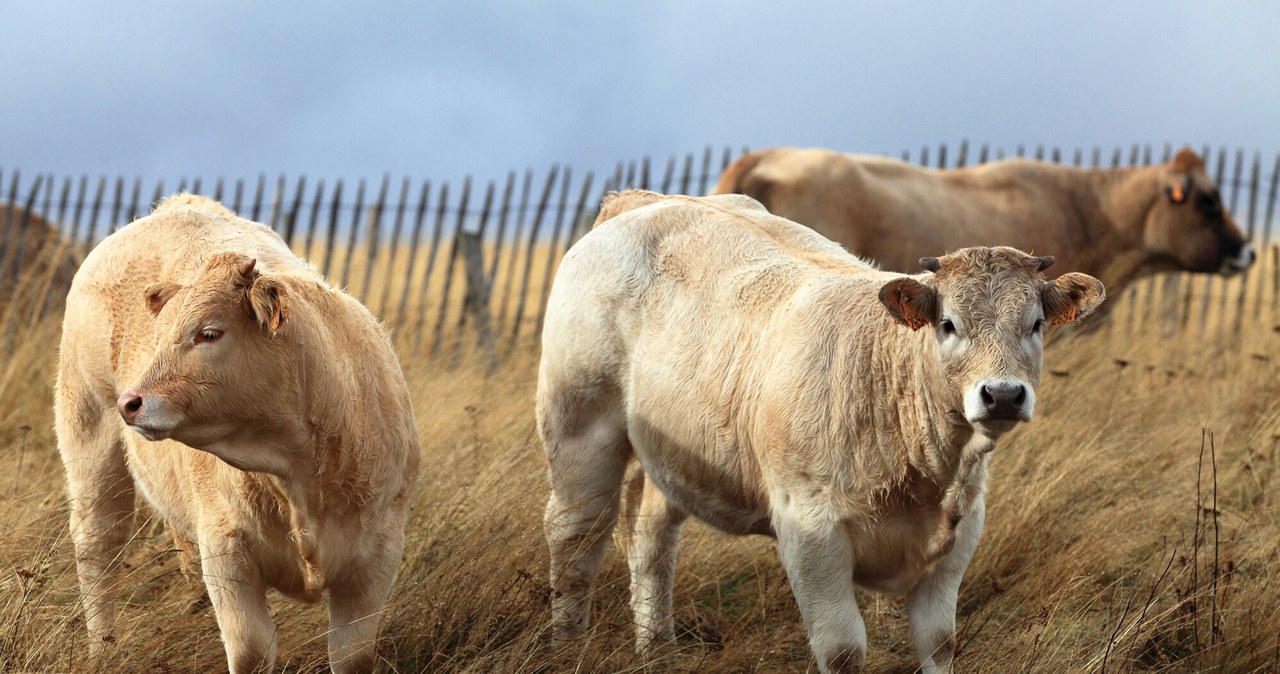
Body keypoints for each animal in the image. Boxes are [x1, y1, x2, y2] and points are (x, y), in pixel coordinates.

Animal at [53, 195, 419, 674]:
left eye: (209, 333)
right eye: (161, 337)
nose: (130, 403)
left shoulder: (378, 554)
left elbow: (352, 654)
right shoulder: (227, 553)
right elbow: (250, 650)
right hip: (89, 441)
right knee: (98, 548)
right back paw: (102, 649)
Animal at [535, 189, 1105, 674]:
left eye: (1035, 324)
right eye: (948, 324)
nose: (1003, 394)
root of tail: (646, 201)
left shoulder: (959, 535)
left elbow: (939, 643)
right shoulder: (810, 532)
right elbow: (843, 649)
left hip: (672, 453)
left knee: (651, 537)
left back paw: (659, 650)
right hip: (581, 428)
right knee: (575, 539)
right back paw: (568, 647)